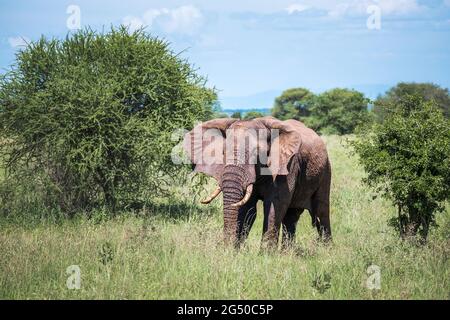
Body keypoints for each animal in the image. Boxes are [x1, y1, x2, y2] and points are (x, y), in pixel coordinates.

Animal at [182, 116, 330, 249]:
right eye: (223, 153)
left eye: (257, 153)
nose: (225, 249)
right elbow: (248, 209)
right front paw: (235, 252)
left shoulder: (288, 165)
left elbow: (275, 205)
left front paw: (265, 255)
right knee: (291, 217)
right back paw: (287, 253)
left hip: (326, 170)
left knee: (321, 211)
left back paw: (326, 250)